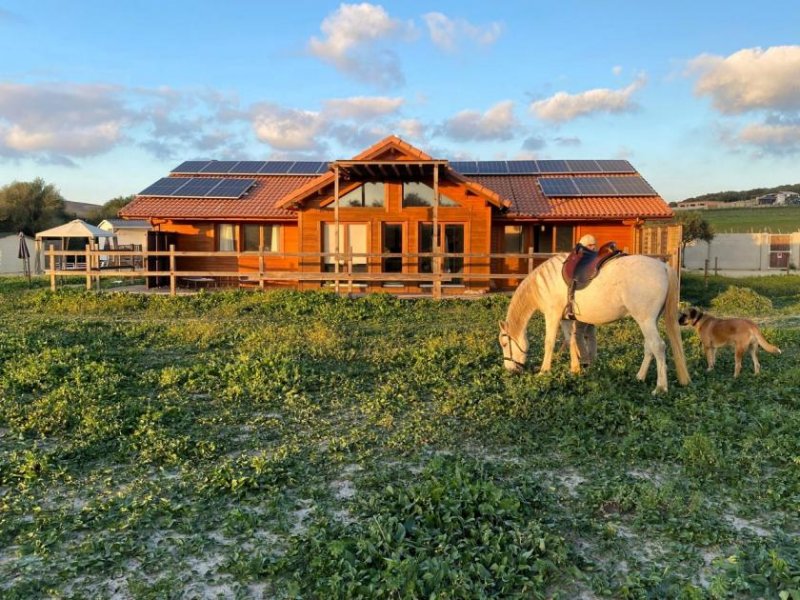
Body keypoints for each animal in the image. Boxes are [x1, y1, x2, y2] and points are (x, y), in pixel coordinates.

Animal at [496, 253, 692, 394]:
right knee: (649, 347)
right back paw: (640, 376)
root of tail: (663, 266)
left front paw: (544, 371)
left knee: (658, 347)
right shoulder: (566, 319)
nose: (509, 369)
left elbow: (549, 343)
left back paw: (660, 388)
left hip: (645, 320)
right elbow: (571, 340)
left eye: (505, 343)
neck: (544, 283)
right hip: (649, 321)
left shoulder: (552, 316)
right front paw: (575, 369)